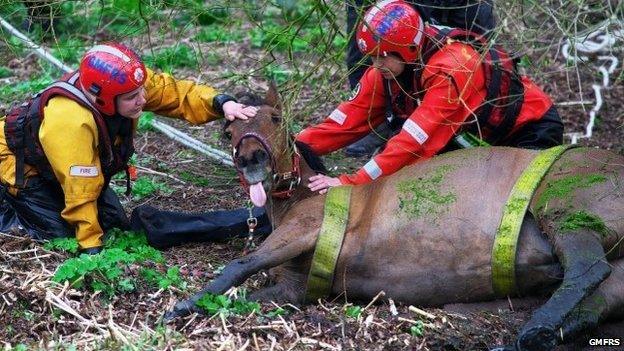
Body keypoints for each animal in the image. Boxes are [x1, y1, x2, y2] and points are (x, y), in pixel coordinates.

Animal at [166, 86, 624, 351]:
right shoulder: (295, 287)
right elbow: (244, 295)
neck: (301, 196)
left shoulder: (304, 229)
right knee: (596, 297)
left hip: (563, 209)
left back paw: (536, 328)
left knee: (587, 270)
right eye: (226, 133)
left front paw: (181, 305)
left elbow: (240, 264)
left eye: (276, 119)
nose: (251, 159)